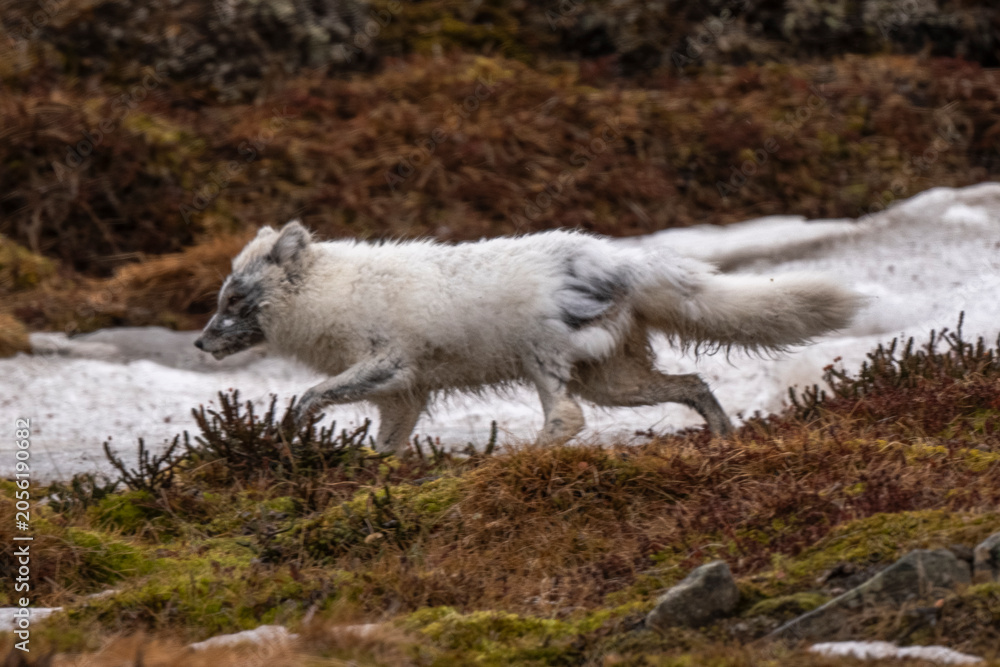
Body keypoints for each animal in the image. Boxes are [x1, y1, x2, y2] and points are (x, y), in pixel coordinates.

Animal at [194, 220, 860, 453]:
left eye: (233, 301)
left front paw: (290, 434)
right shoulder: (405, 395)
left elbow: (312, 397)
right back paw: (723, 435)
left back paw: (519, 458)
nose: (200, 344)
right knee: (693, 381)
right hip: (611, 380)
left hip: (549, 362)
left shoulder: (390, 363)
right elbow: (386, 446)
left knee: (566, 420)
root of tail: (623, 261)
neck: (331, 293)